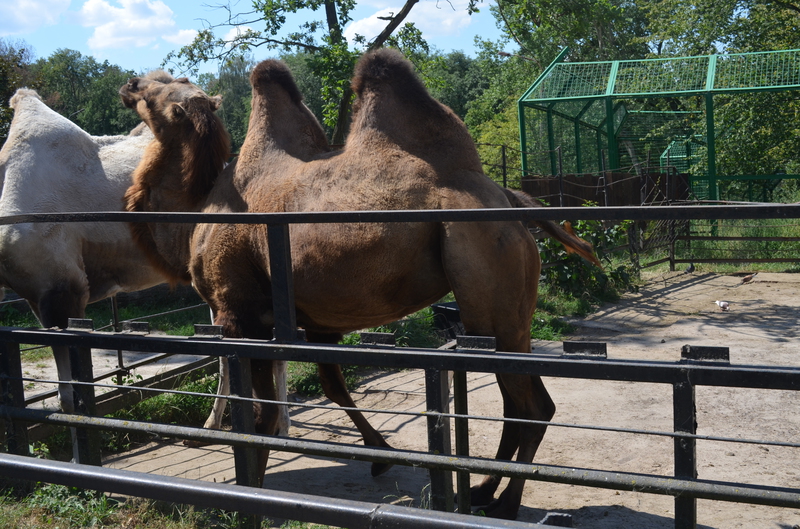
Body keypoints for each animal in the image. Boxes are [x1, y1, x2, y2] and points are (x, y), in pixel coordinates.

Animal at [120, 47, 600, 516]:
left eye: (159, 90)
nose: (128, 83)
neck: (198, 207)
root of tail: (508, 198)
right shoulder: (314, 321)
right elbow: (332, 387)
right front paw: (379, 454)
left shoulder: (239, 313)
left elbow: (262, 419)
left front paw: (250, 494)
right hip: (510, 312)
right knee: (528, 401)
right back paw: (484, 492)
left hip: (487, 283)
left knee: (528, 406)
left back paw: (504, 503)